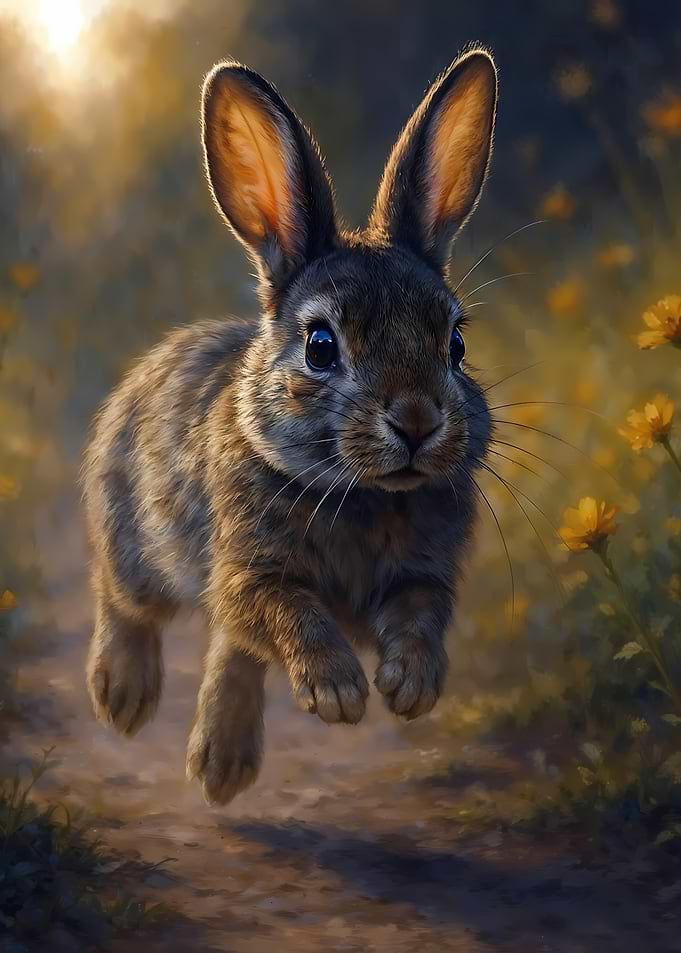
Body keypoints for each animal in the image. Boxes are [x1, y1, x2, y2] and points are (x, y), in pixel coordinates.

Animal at [83, 46, 498, 805]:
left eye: (454, 342)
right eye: (321, 346)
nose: (417, 421)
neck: (365, 493)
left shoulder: (424, 575)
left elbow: (420, 614)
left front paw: (410, 686)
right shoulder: (247, 572)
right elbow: (290, 612)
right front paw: (339, 691)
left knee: (230, 650)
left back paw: (221, 765)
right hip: (137, 543)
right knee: (125, 598)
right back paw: (123, 697)